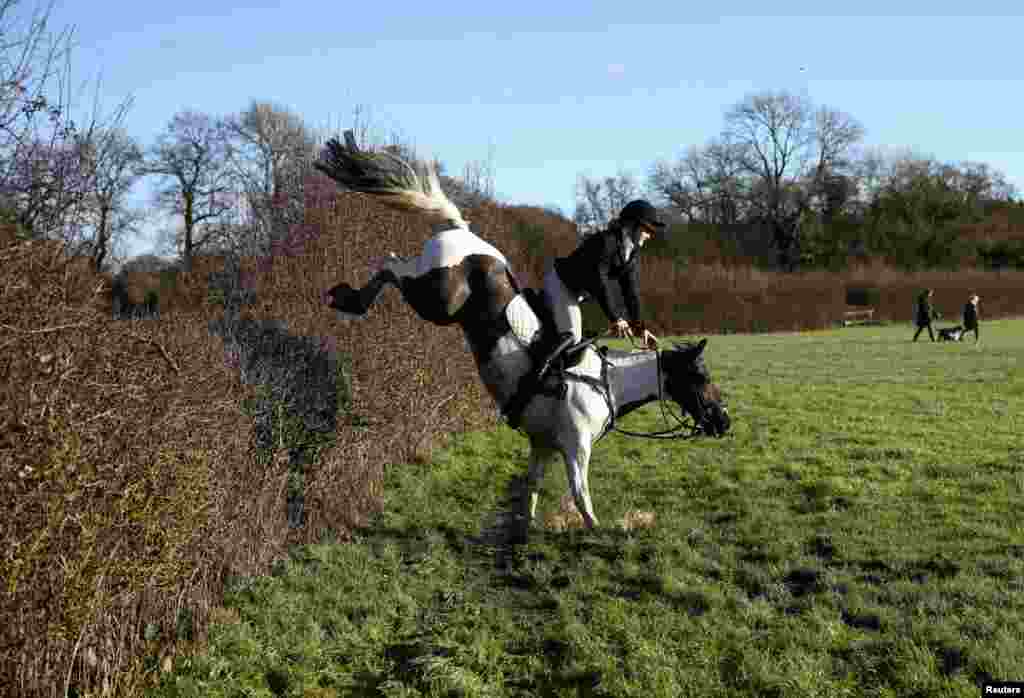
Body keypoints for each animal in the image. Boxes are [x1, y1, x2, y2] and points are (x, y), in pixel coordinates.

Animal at [311, 130, 729, 528]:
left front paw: (525, 529)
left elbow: (532, 487)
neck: (607, 384)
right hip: (441, 300)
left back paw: (349, 298)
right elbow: (582, 500)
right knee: (392, 265)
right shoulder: (575, 449)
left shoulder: (542, 444)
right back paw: (351, 300)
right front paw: (601, 533)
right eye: (700, 378)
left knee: (395, 263)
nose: (724, 422)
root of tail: (464, 233)